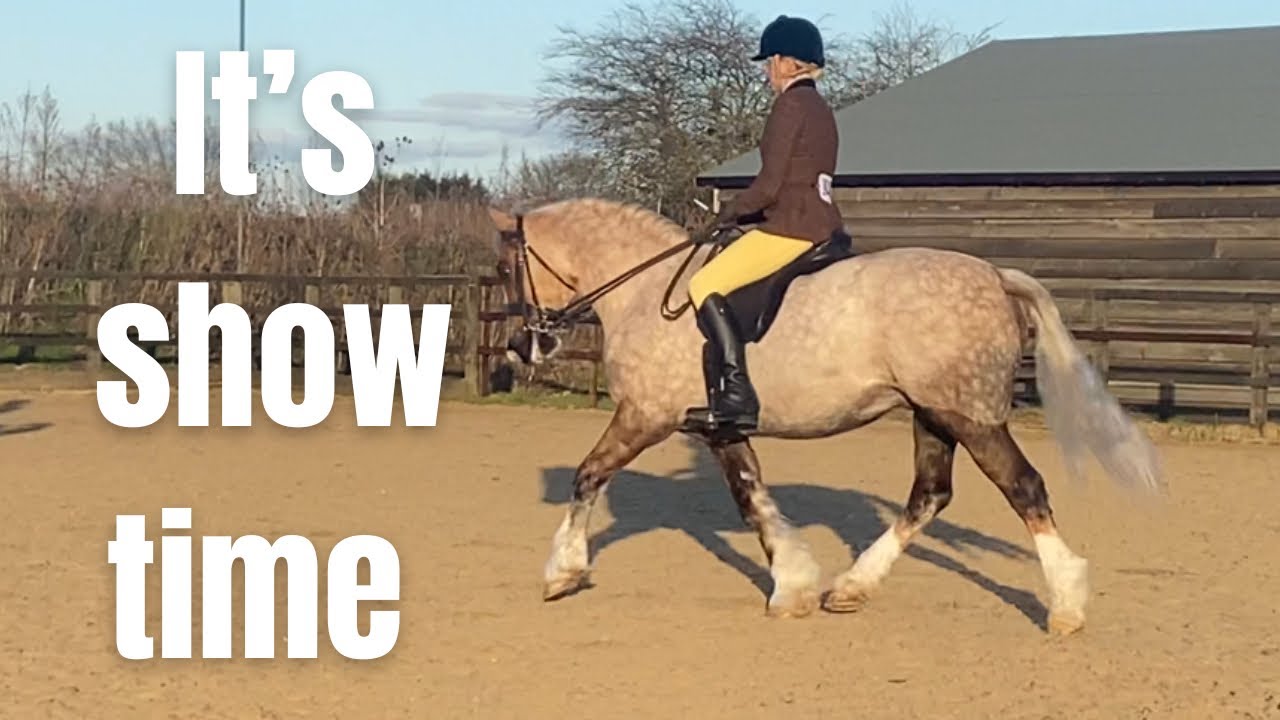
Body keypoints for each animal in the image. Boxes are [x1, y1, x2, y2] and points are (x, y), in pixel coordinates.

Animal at [483, 197, 1163, 635]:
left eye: (505, 267)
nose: (522, 346)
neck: (645, 294)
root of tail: (995, 276)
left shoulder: (644, 415)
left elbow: (589, 474)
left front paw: (563, 572)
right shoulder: (717, 427)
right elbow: (751, 496)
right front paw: (794, 585)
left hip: (968, 415)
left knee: (1023, 488)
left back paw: (1067, 607)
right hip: (932, 415)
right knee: (929, 496)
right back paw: (851, 588)